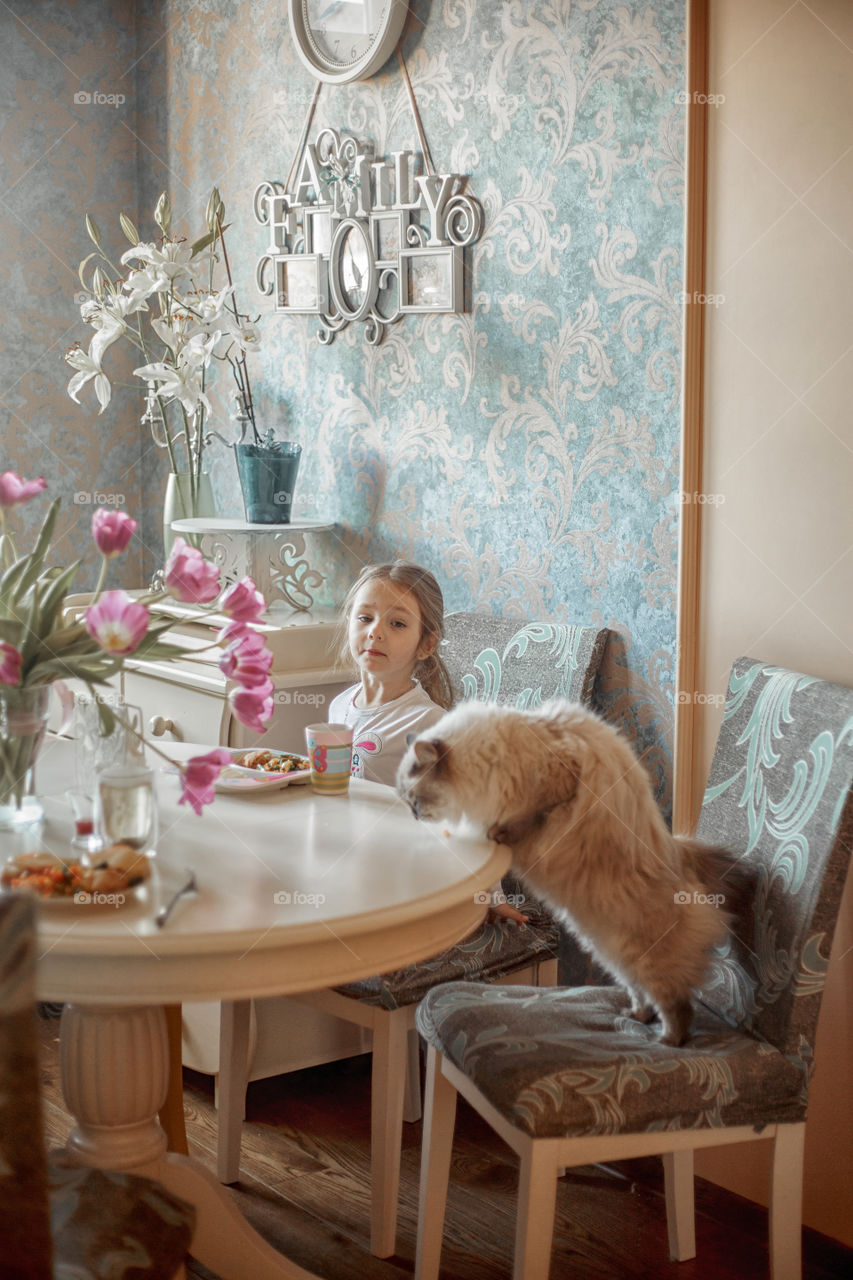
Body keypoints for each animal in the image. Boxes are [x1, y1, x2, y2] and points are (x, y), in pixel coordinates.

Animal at [394, 696, 742, 1044]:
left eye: (415, 801)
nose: (414, 816)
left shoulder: (555, 785)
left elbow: (521, 822)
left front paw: (498, 835)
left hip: (646, 960)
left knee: (676, 1006)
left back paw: (665, 1041)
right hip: (613, 954)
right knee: (641, 994)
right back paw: (635, 1017)